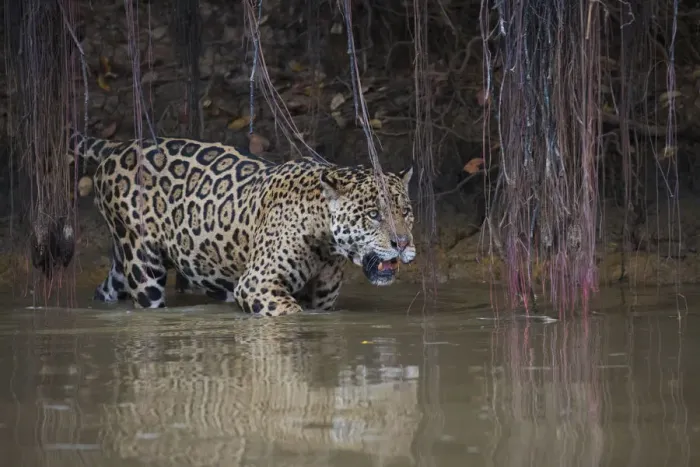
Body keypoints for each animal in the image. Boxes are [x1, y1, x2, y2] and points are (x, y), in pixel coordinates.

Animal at [60, 128, 416, 316]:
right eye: (374, 214)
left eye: (406, 212)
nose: (402, 244)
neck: (327, 244)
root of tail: (119, 145)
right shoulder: (258, 283)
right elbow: (291, 315)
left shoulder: (322, 300)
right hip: (143, 267)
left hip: (124, 263)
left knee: (107, 288)